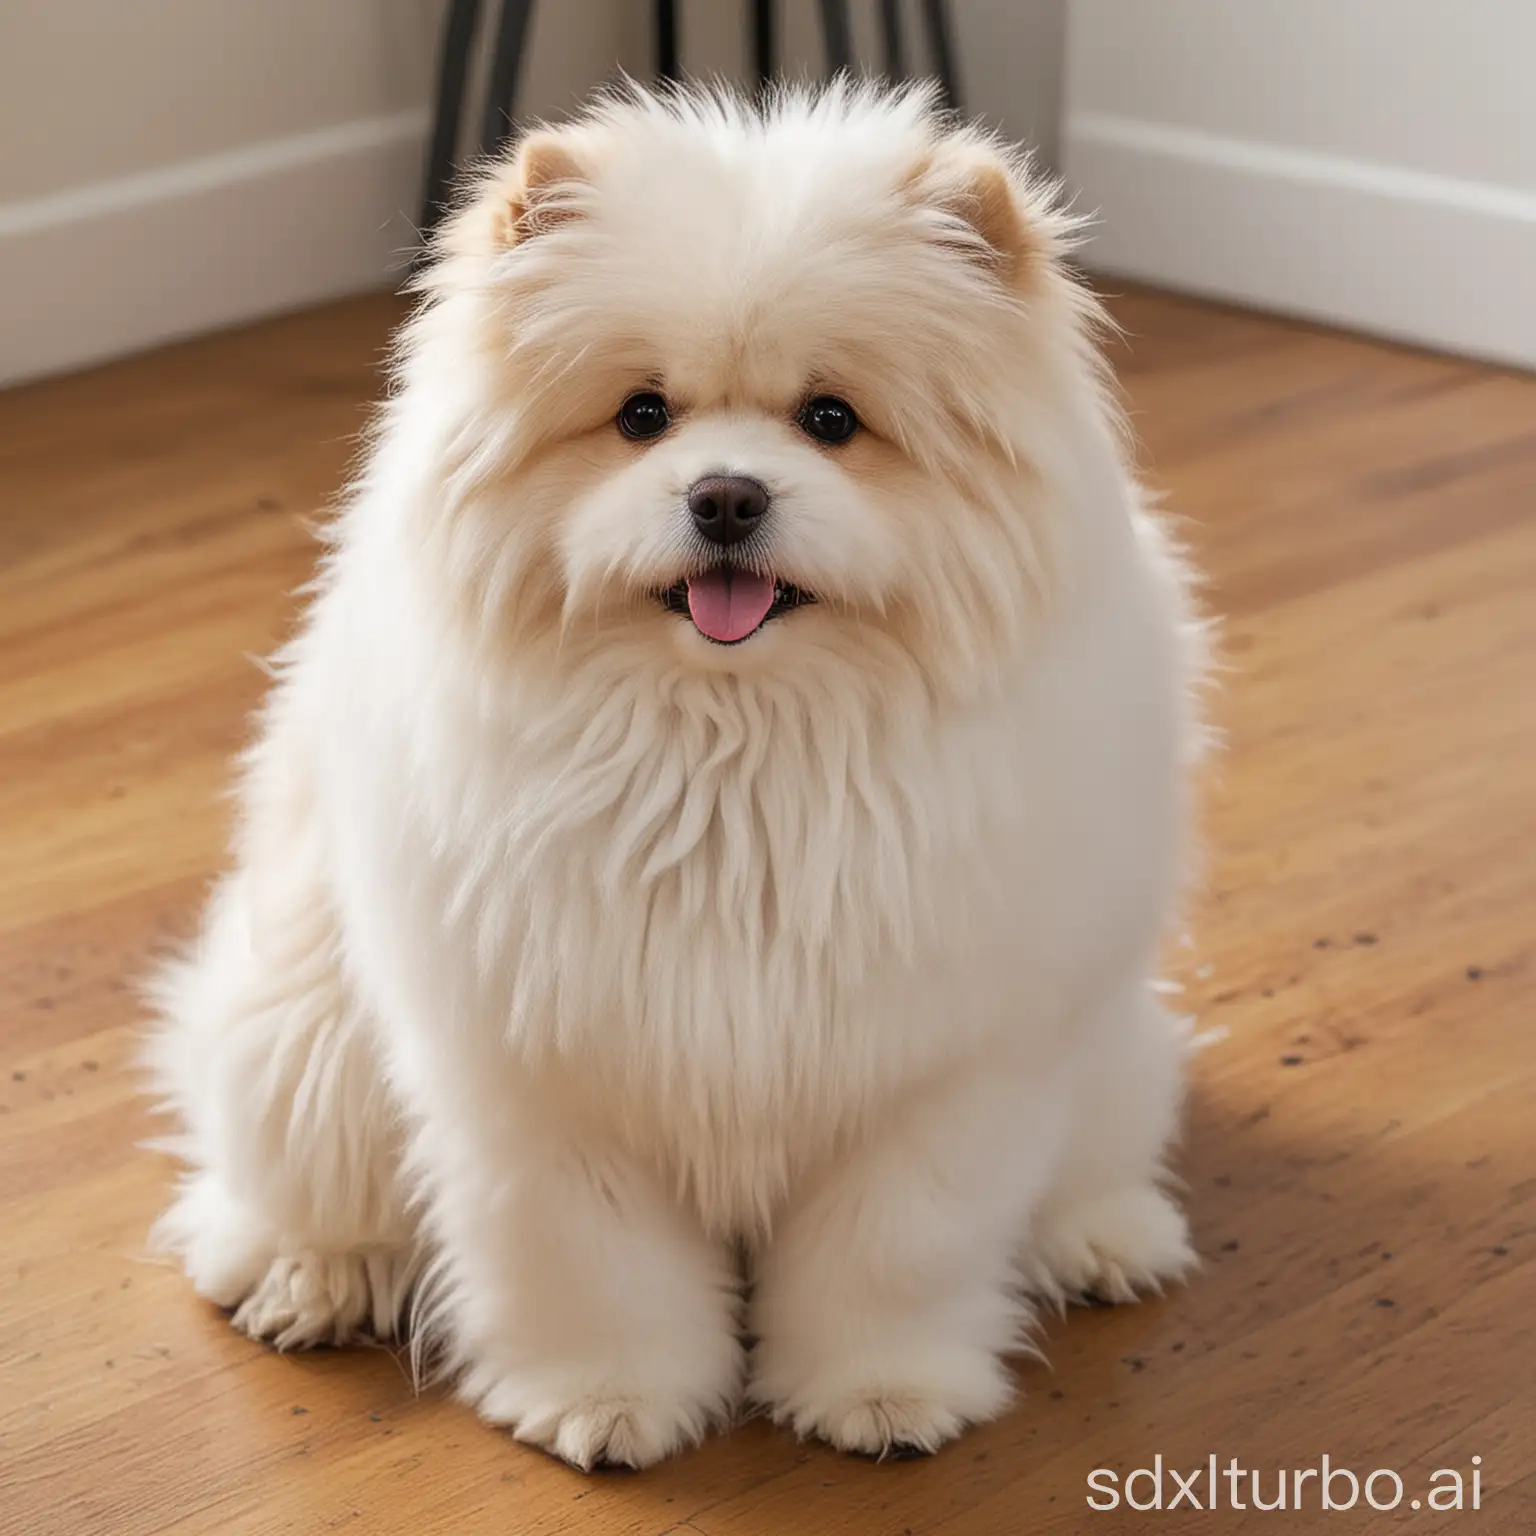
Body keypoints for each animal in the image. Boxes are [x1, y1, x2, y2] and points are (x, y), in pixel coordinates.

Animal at [149, 81, 1204, 1462]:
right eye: (641, 414)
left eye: (831, 419)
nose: (725, 497)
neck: (735, 755)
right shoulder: (545, 1081)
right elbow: (590, 1265)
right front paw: (606, 1403)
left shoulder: (941, 1076)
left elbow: (895, 1252)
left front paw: (882, 1394)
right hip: (297, 1051)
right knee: (278, 1194)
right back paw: (309, 1277)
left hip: (1111, 1054)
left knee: (1096, 1159)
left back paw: (1106, 1239)